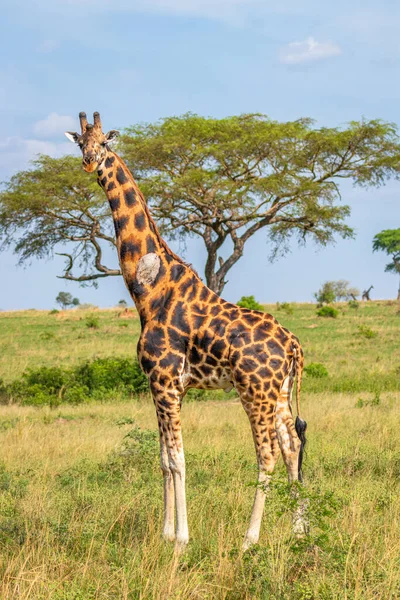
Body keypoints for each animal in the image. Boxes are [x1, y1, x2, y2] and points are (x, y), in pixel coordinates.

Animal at [66, 111, 310, 548]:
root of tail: (293, 345)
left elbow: (179, 458)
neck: (149, 291)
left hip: (255, 392)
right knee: (291, 447)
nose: (91, 163)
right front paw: (164, 533)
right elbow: (163, 458)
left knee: (266, 454)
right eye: (81, 142)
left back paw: (249, 540)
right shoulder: (160, 386)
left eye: (105, 143)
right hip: (280, 393)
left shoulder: (165, 381)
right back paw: (298, 534)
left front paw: (182, 538)